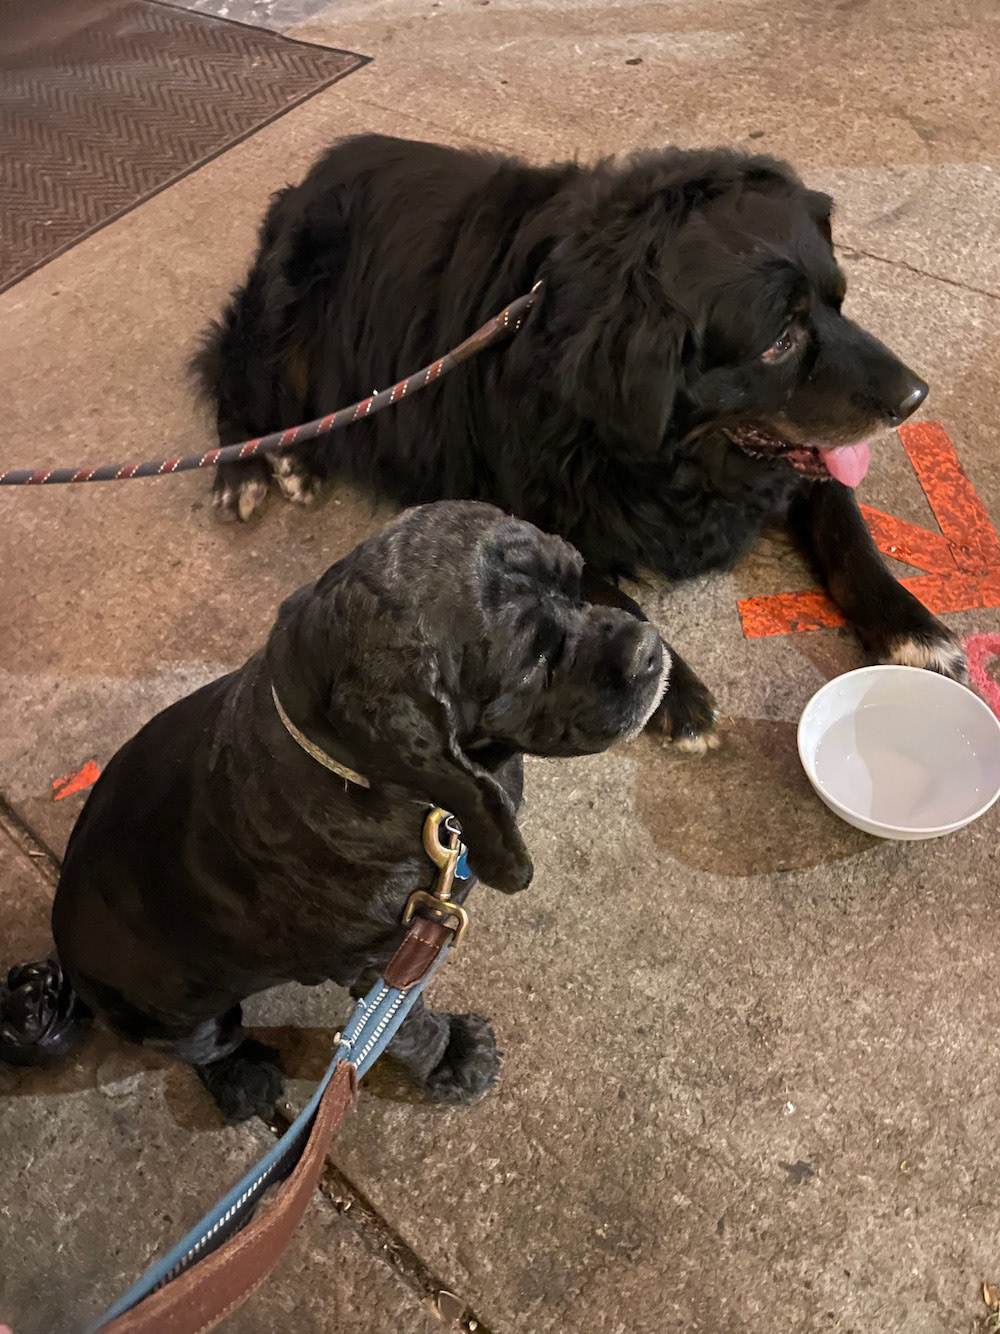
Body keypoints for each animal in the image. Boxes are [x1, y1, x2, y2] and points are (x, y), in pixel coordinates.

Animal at [0, 502, 667, 1122]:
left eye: (577, 578)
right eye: (535, 659)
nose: (650, 650)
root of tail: (64, 956)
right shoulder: (378, 961)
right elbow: (403, 1025)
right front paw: (451, 1054)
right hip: (180, 1017)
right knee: (211, 1045)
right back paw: (242, 1077)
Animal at [193, 135, 965, 752]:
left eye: (839, 301)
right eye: (780, 340)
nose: (915, 397)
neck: (679, 461)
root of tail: (315, 170)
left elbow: (845, 527)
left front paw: (912, 625)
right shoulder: (530, 504)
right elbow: (612, 592)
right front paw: (673, 689)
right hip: (285, 318)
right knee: (236, 377)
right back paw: (260, 466)